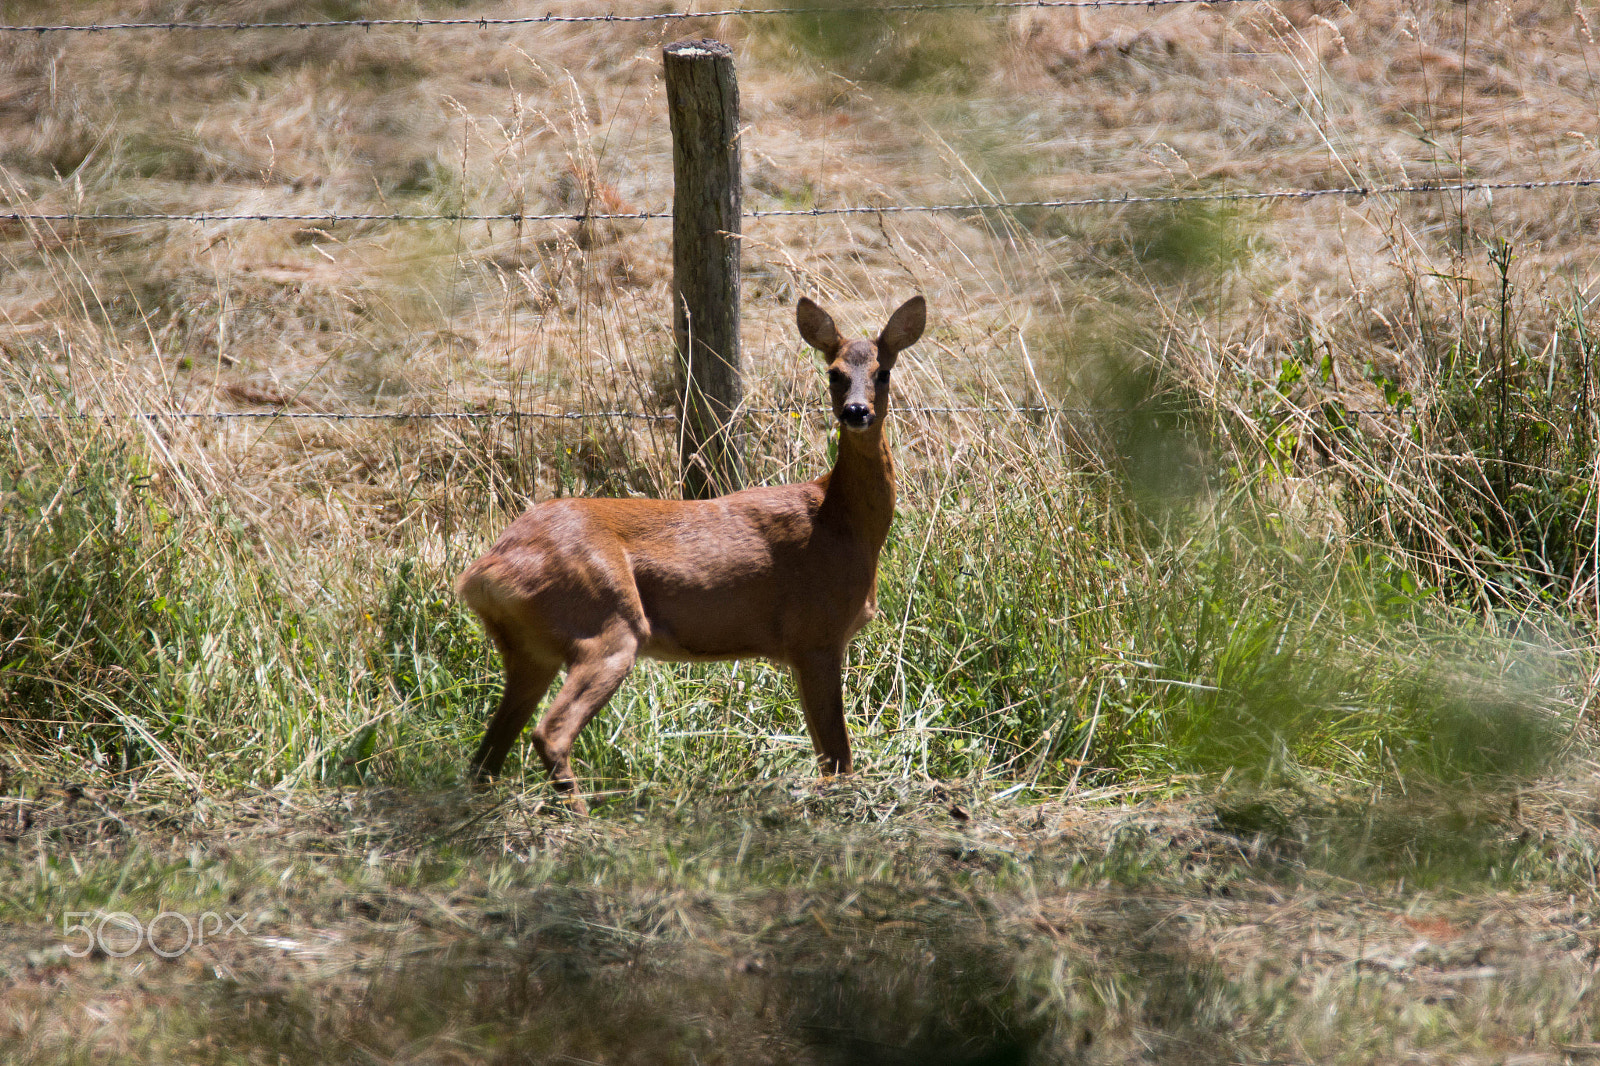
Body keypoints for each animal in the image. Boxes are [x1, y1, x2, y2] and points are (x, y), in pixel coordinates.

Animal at [457, 294, 928, 809]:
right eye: (834, 373)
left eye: (884, 371)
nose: (857, 411)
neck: (840, 523)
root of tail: (482, 573)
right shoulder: (816, 634)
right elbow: (838, 755)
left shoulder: (804, 645)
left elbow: (828, 754)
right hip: (605, 624)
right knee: (550, 732)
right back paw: (581, 815)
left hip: (530, 651)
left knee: (485, 757)